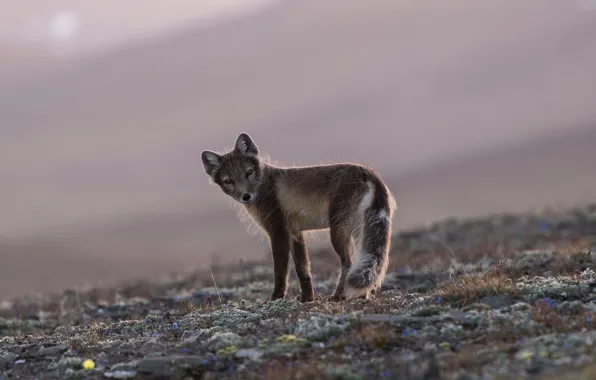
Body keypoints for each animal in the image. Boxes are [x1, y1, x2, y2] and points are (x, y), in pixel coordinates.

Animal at [200, 134, 396, 302]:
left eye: (248, 172)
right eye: (228, 181)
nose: (246, 196)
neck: (265, 185)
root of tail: (368, 172)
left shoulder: (278, 232)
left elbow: (280, 272)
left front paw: (275, 299)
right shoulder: (295, 233)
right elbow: (303, 271)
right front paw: (307, 299)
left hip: (338, 232)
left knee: (349, 264)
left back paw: (339, 296)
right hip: (360, 232)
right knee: (366, 262)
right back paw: (363, 295)